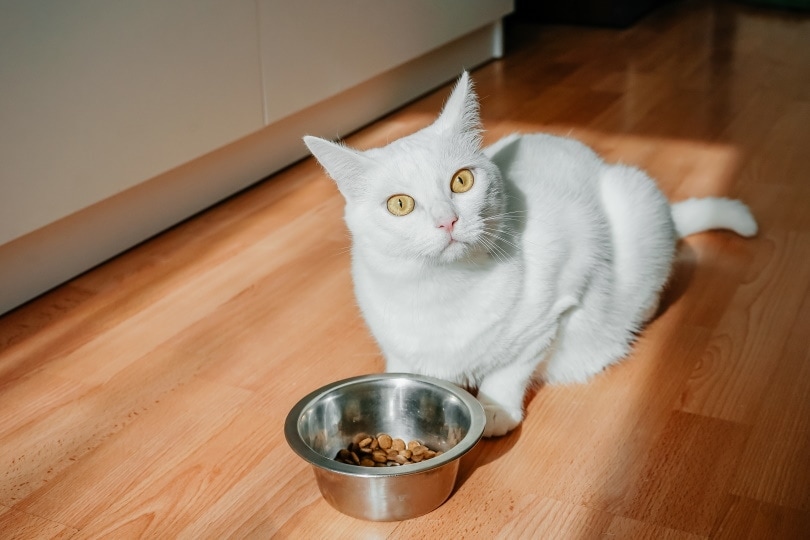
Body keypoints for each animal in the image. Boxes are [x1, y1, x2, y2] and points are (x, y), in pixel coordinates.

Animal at [302, 71, 752, 436]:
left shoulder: (556, 304)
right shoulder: (398, 345)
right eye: (400, 204)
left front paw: (494, 410)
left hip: (640, 200)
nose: (448, 221)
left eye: (461, 181)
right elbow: (410, 369)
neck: (443, 287)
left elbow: (510, 367)